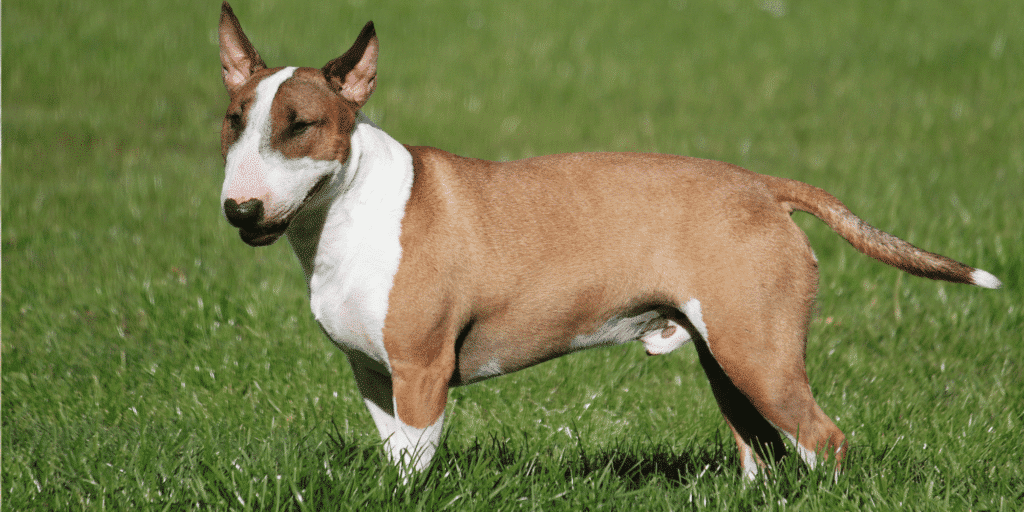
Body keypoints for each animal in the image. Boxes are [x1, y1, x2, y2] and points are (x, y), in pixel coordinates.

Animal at [216, 2, 999, 477]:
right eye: (233, 120)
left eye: (301, 124)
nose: (239, 210)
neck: (346, 209)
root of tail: (762, 184)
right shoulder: (375, 376)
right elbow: (396, 461)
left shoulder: (421, 373)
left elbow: (419, 461)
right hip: (730, 356)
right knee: (761, 449)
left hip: (762, 356)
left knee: (824, 443)